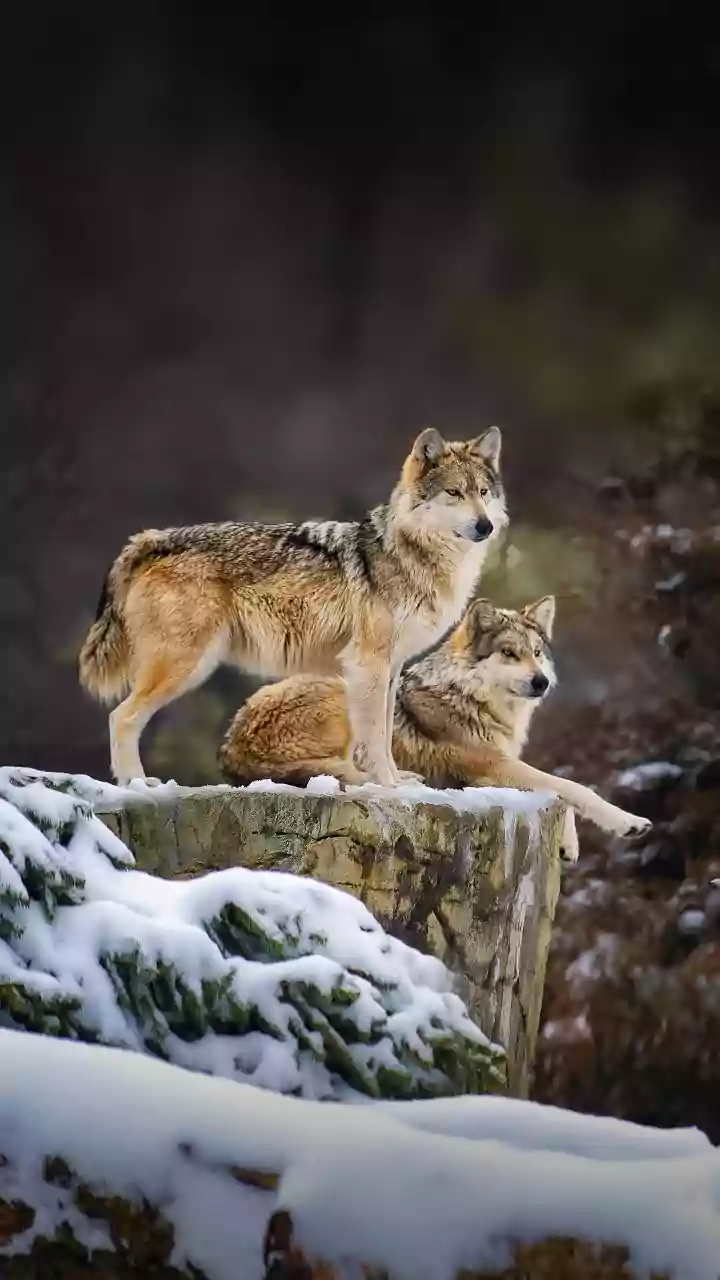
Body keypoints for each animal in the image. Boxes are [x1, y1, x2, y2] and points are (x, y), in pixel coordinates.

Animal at [79, 426, 507, 787]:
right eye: (454, 493)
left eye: (483, 492)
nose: (485, 526)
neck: (413, 553)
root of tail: (153, 538)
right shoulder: (368, 662)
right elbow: (373, 738)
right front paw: (388, 786)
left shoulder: (391, 667)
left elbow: (385, 734)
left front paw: (397, 780)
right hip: (185, 666)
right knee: (121, 717)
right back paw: (137, 784)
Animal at [219, 595, 653, 850]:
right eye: (508, 653)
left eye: (536, 653)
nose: (541, 682)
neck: (472, 697)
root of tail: (232, 748)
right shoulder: (492, 766)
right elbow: (571, 788)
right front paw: (628, 823)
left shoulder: (501, 766)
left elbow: (559, 791)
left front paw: (569, 844)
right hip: (348, 693)